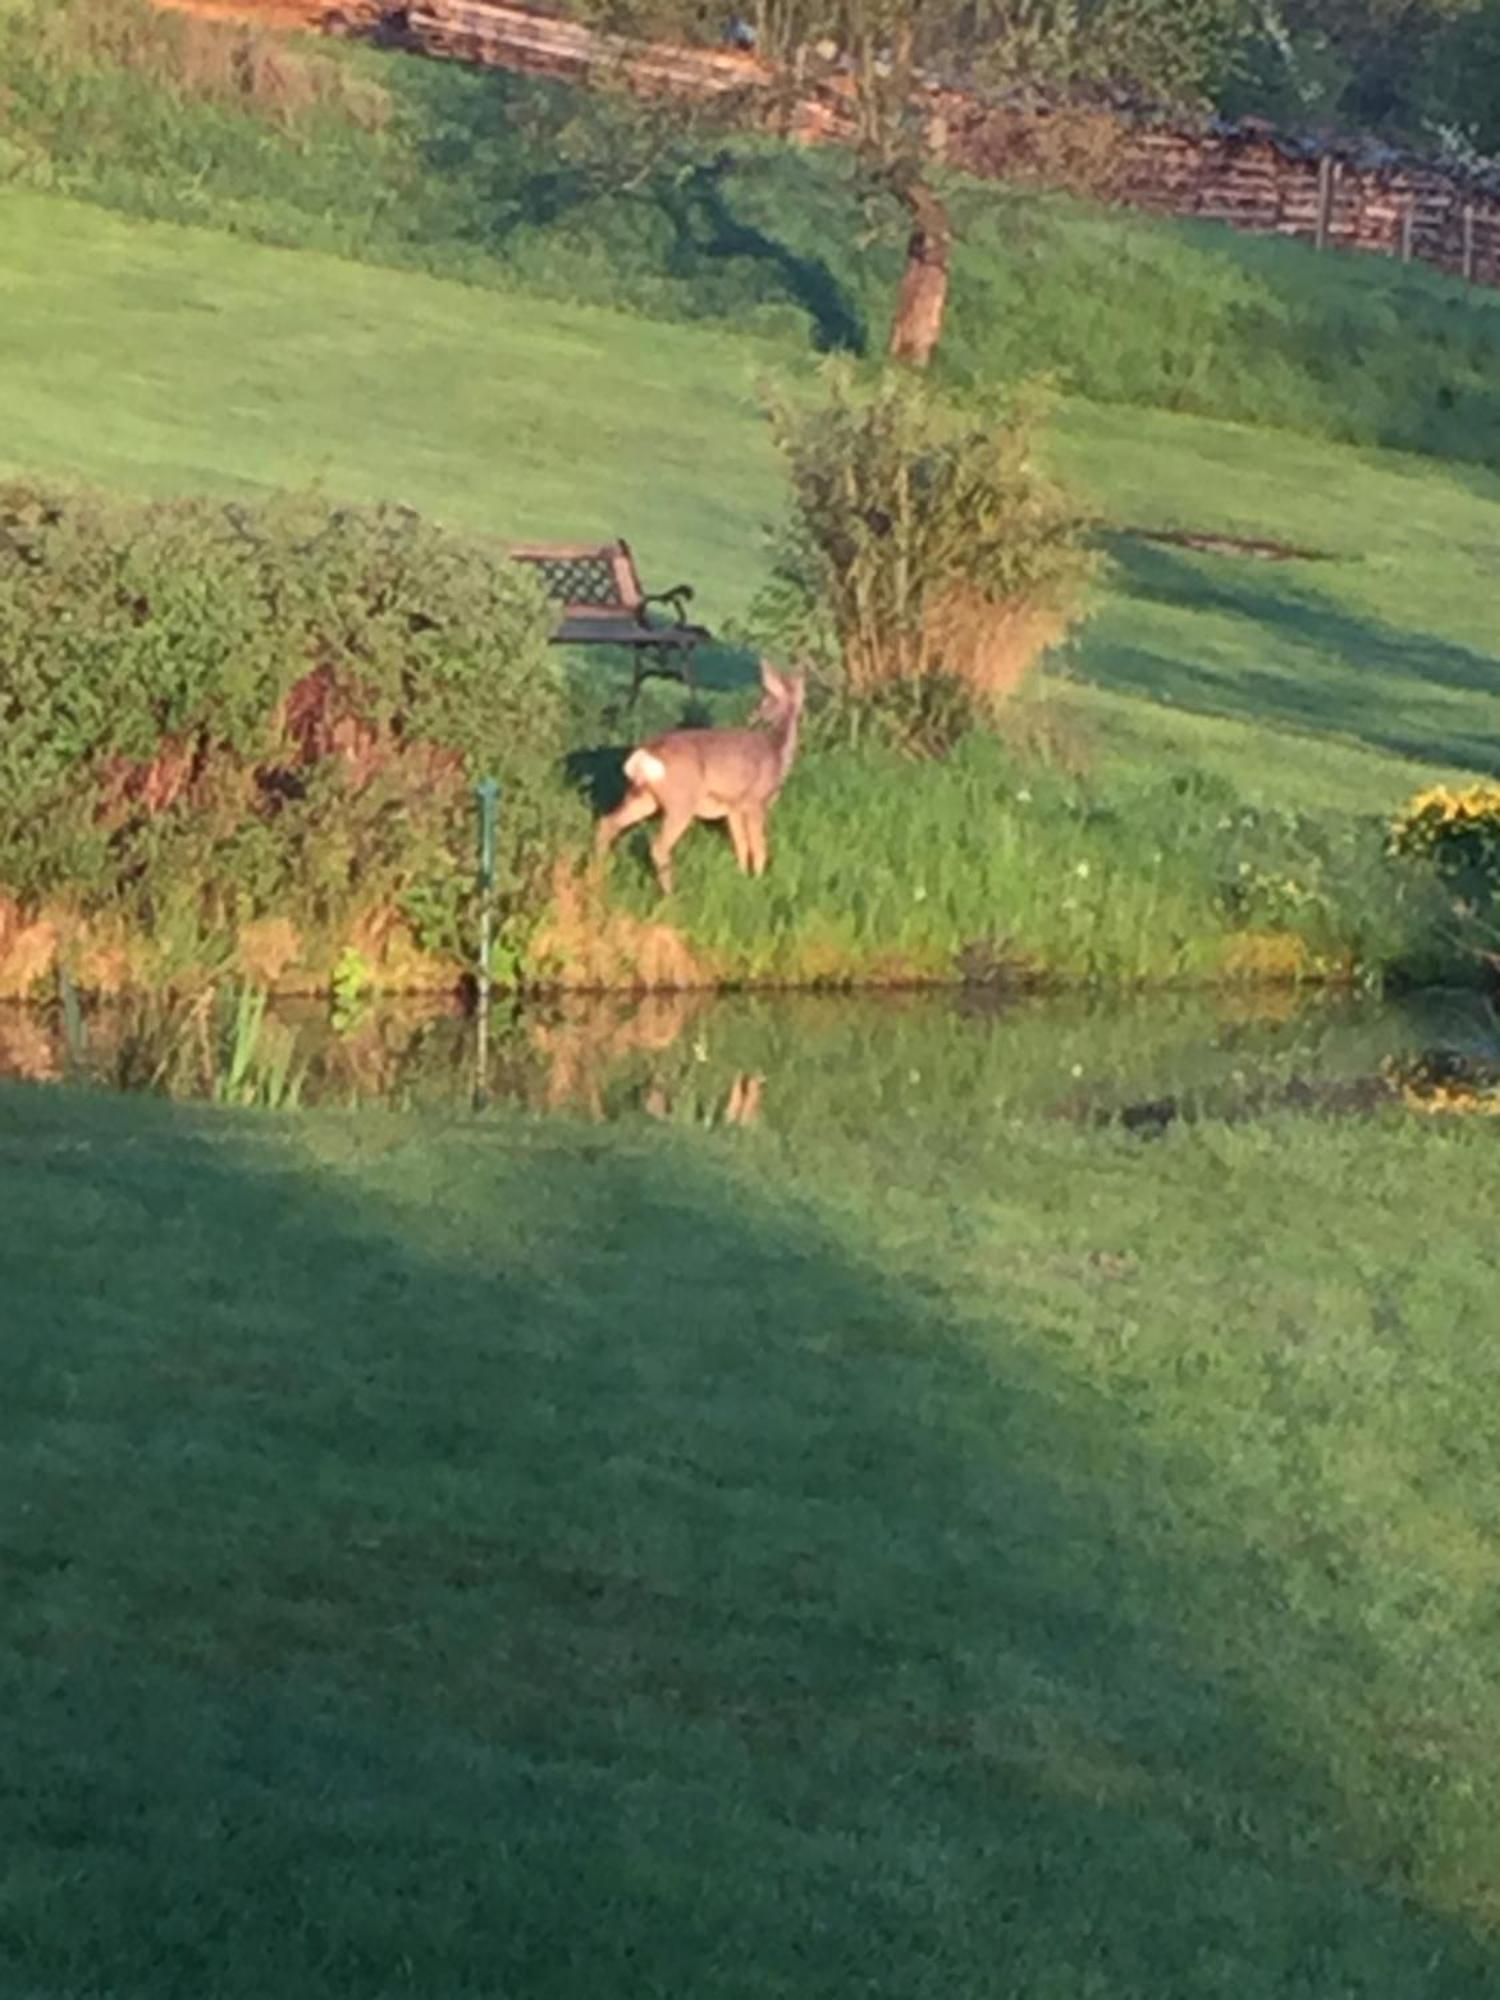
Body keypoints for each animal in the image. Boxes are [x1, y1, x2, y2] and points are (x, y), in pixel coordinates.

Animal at [600, 660, 812, 896]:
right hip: (681, 802)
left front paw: (741, 878)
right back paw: (671, 895)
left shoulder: (733, 808)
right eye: (766, 697)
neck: (777, 751)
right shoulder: (755, 802)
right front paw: (759, 882)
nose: (752, 715)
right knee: (658, 846)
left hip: (643, 796)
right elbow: (759, 848)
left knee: (606, 824)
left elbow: (741, 845)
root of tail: (645, 754)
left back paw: (598, 874)